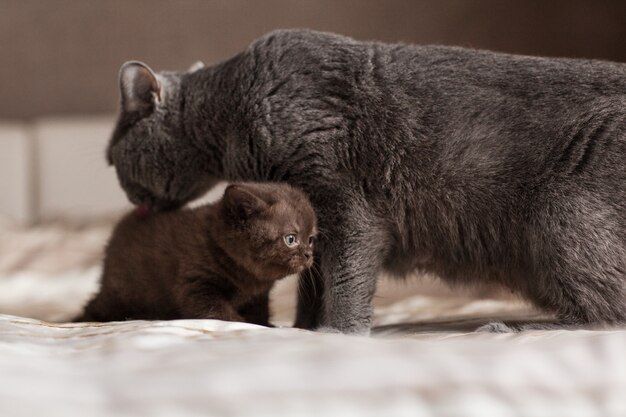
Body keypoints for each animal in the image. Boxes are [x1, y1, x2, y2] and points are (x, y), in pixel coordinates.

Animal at [74, 182, 316, 324]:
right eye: (291, 239)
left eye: (311, 240)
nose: (307, 255)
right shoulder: (197, 284)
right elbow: (217, 313)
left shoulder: (258, 297)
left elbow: (260, 314)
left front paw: (265, 325)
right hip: (123, 291)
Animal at [107, 29, 624, 334]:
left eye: (111, 161)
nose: (130, 199)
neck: (234, 109)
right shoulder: (312, 218)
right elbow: (311, 281)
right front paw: (304, 331)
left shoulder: (344, 202)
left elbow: (345, 276)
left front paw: (340, 333)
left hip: (561, 212)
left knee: (607, 314)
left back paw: (513, 328)